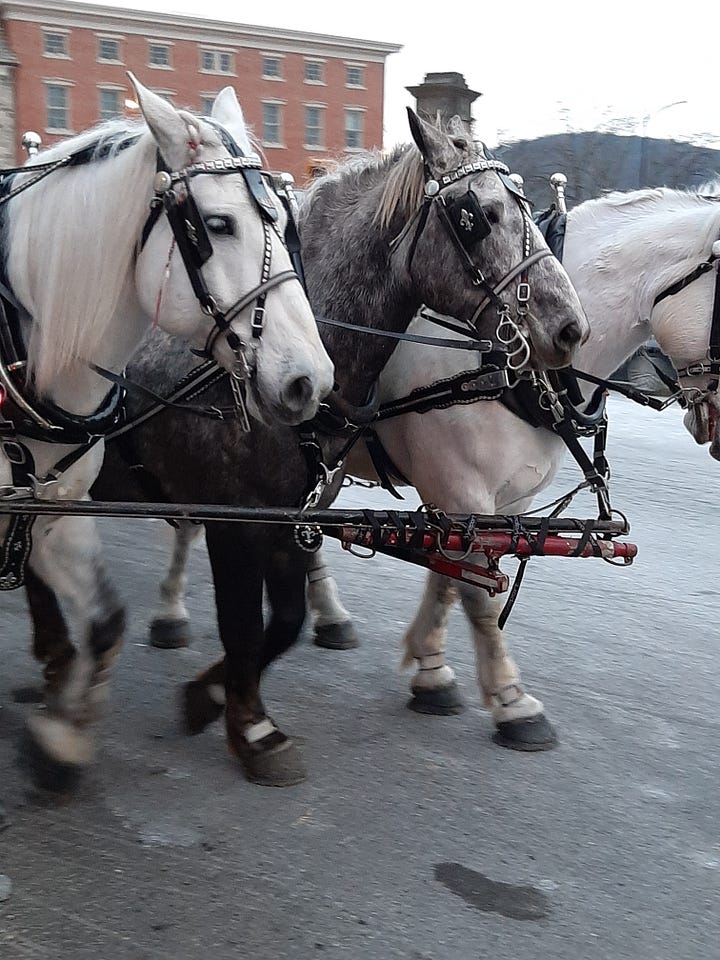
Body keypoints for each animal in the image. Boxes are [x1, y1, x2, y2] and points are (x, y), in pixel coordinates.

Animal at [0, 76, 334, 784]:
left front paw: (61, 737)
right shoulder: (237, 517)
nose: (309, 381)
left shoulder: (55, 504)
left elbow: (107, 620)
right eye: (217, 224)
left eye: (287, 223)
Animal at [20, 106, 590, 786]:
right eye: (478, 215)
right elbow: (244, 622)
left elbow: (286, 619)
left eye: (528, 206)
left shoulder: (294, 512)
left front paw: (215, 696)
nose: (570, 327)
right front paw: (251, 728)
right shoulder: (237, 519)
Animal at [100, 179, 720, 759]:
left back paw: (329, 616)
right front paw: (512, 703)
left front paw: (431, 671)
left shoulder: (500, 503)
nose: (710, 428)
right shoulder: (460, 486)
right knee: (191, 521)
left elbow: (450, 579)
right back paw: (172, 611)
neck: (499, 362)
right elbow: (476, 596)